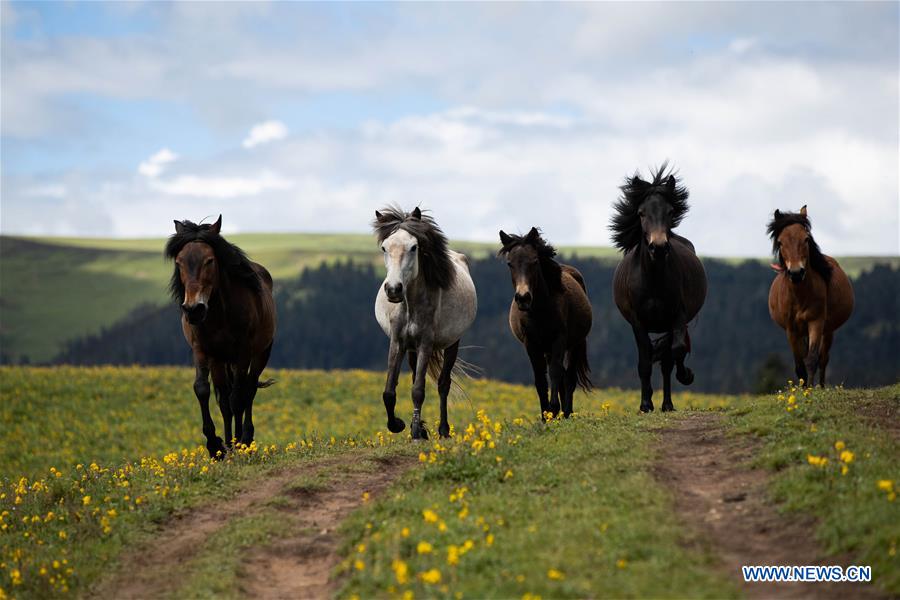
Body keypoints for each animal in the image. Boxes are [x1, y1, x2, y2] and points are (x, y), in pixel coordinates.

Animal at [165, 216, 276, 454]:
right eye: (179, 262)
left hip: (260, 353)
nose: (193, 309)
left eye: (209, 261)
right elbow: (203, 390)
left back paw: (245, 438)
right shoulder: (204, 351)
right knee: (225, 400)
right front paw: (216, 445)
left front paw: (239, 444)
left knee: (248, 390)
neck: (220, 315)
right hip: (222, 361)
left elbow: (238, 398)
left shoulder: (243, 353)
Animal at [372, 209, 478, 438]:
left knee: (443, 384)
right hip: (411, 349)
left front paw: (414, 433)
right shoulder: (398, 342)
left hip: (451, 344)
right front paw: (399, 425)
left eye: (414, 247)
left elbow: (418, 390)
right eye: (384, 247)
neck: (411, 305)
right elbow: (389, 392)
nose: (393, 289)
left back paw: (443, 430)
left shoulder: (426, 344)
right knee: (414, 376)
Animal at [500, 227, 592, 420]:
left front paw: (554, 409)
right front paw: (546, 415)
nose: (523, 298)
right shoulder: (531, 344)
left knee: (569, 378)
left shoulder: (559, 340)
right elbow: (540, 379)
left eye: (534, 261)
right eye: (510, 263)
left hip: (575, 344)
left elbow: (555, 373)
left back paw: (567, 413)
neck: (540, 311)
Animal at [608, 164, 708, 412]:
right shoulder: (638, 322)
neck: (653, 279)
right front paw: (645, 404)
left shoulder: (677, 316)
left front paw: (686, 376)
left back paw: (668, 404)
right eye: (641, 213)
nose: (659, 247)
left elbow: (676, 352)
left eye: (670, 212)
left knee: (667, 361)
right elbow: (645, 361)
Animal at [768, 205, 856, 384]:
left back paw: (821, 386)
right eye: (780, 242)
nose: (796, 273)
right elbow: (799, 364)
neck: (800, 296)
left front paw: (810, 388)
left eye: (806, 239)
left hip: (828, 330)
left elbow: (811, 359)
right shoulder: (791, 330)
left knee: (823, 359)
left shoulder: (816, 322)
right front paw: (803, 387)